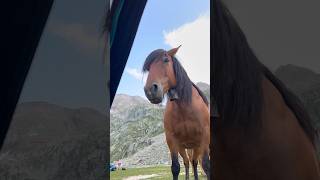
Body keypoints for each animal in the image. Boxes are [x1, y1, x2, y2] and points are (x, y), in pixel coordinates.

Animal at [144, 46, 210, 180]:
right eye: (148, 68)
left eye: (166, 60)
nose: (150, 91)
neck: (184, 108)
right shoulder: (171, 140)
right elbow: (175, 167)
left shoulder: (204, 137)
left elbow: (206, 165)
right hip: (182, 147)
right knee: (187, 162)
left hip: (196, 146)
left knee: (195, 162)